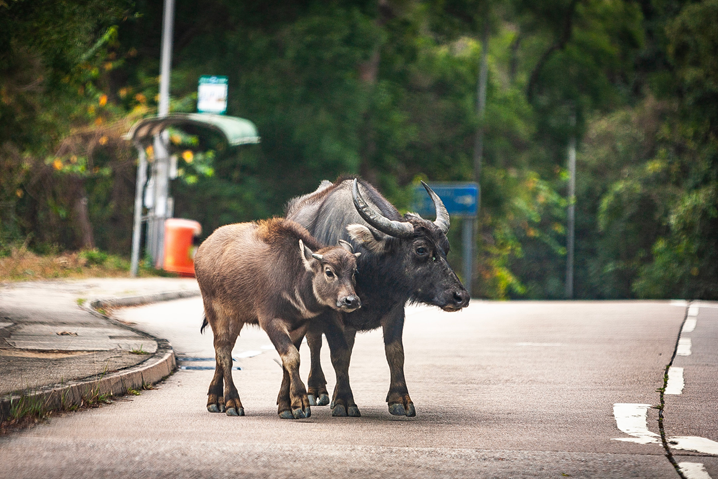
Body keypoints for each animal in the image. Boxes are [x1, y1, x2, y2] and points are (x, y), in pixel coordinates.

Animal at [195, 218, 360, 420]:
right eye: (329, 272)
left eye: (353, 272)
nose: (351, 300)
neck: (293, 280)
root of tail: (203, 247)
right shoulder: (271, 322)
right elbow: (292, 357)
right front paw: (300, 403)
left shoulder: (299, 325)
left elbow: (286, 362)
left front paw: (285, 406)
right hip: (216, 311)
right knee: (223, 352)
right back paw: (232, 403)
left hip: (236, 317)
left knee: (223, 349)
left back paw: (215, 400)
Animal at [286, 178, 472, 418]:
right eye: (421, 249)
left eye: (445, 249)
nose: (460, 296)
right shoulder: (332, 315)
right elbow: (338, 355)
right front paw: (344, 402)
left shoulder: (395, 310)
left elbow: (395, 353)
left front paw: (400, 399)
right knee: (315, 342)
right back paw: (317, 390)